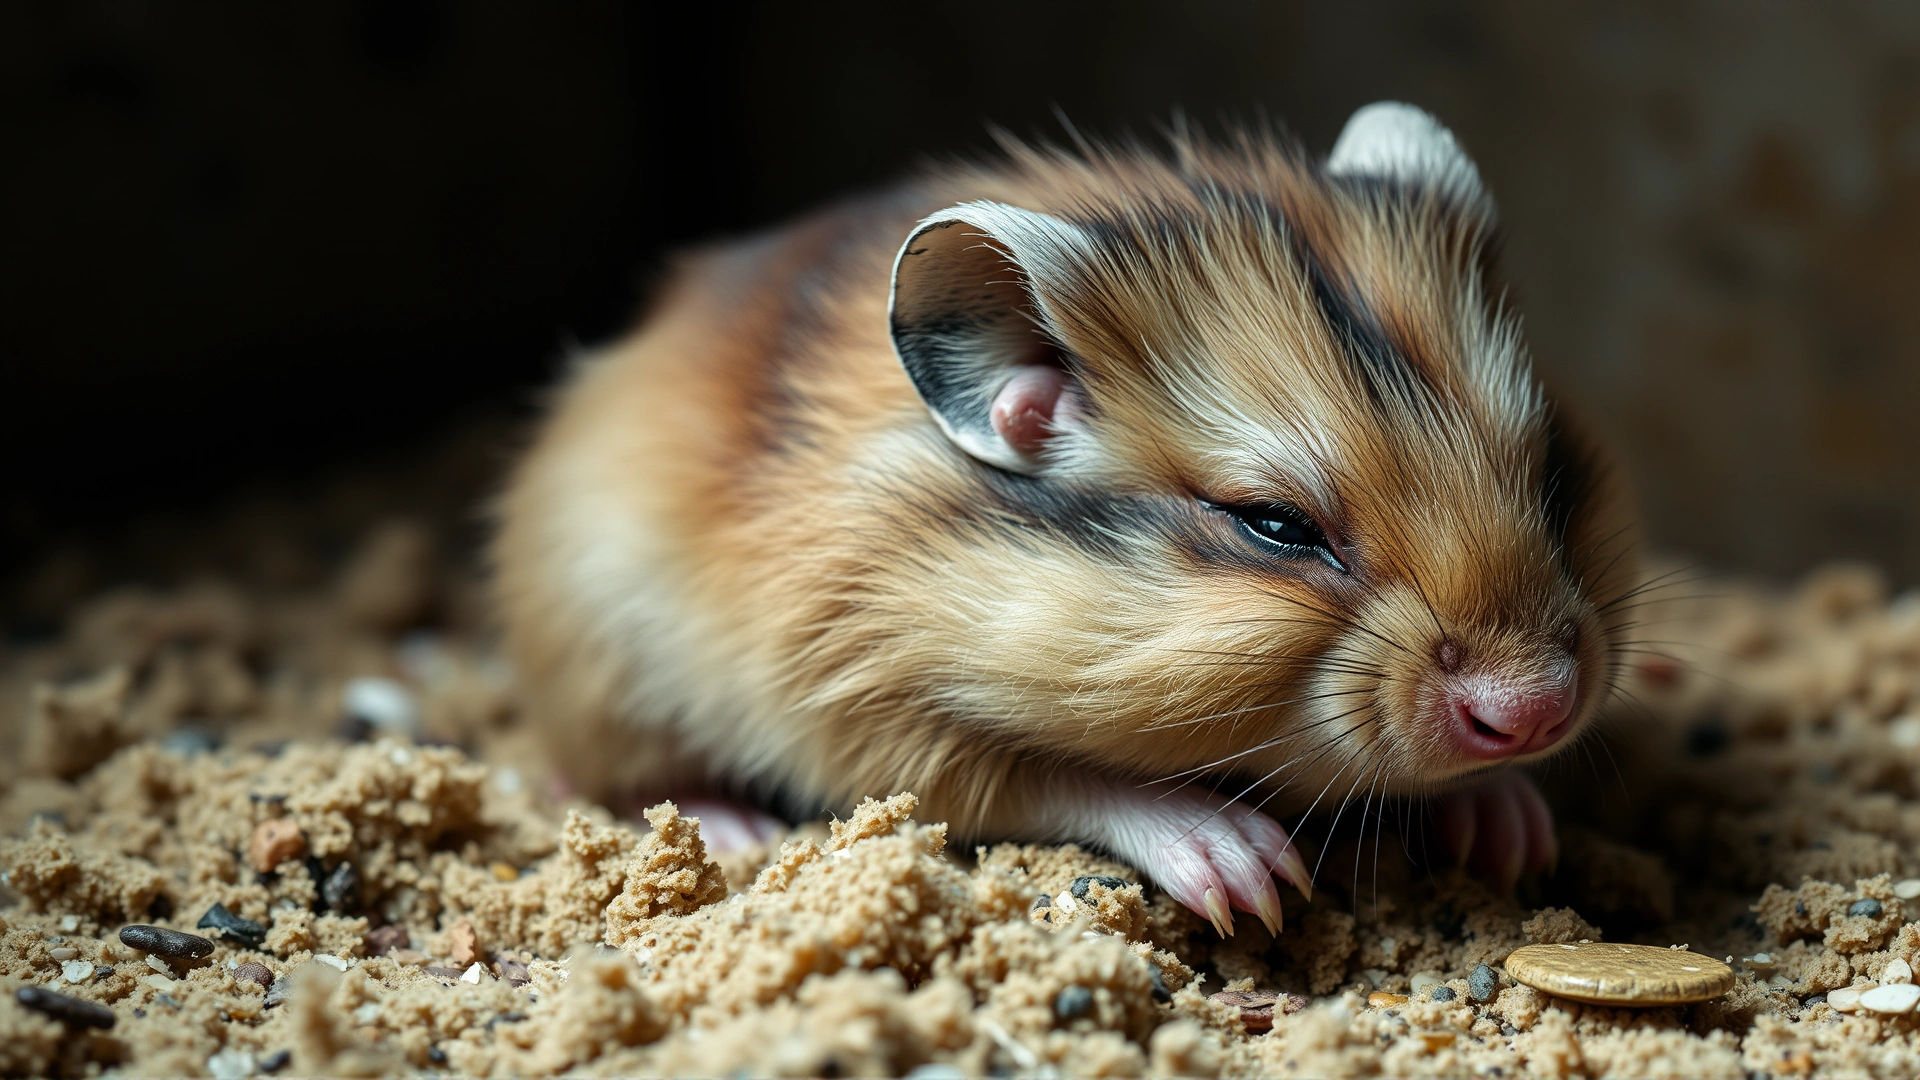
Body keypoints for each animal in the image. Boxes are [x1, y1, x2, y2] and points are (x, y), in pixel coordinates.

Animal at [494, 102, 1637, 936]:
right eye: (1273, 524)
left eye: (1550, 467)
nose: (1538, 712)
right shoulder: (869, 716)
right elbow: (1064, 781)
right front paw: (1253, 877)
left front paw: (1514, 831)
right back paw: (727, 830)